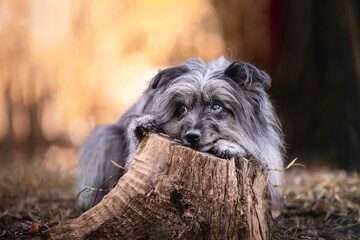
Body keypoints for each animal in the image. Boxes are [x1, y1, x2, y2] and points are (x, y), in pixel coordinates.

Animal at [77, 56, 286, 208]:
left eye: (216, 106)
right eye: (182, 108)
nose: (192, 136)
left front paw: (228, 146)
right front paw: (143, 125)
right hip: (105, 138)